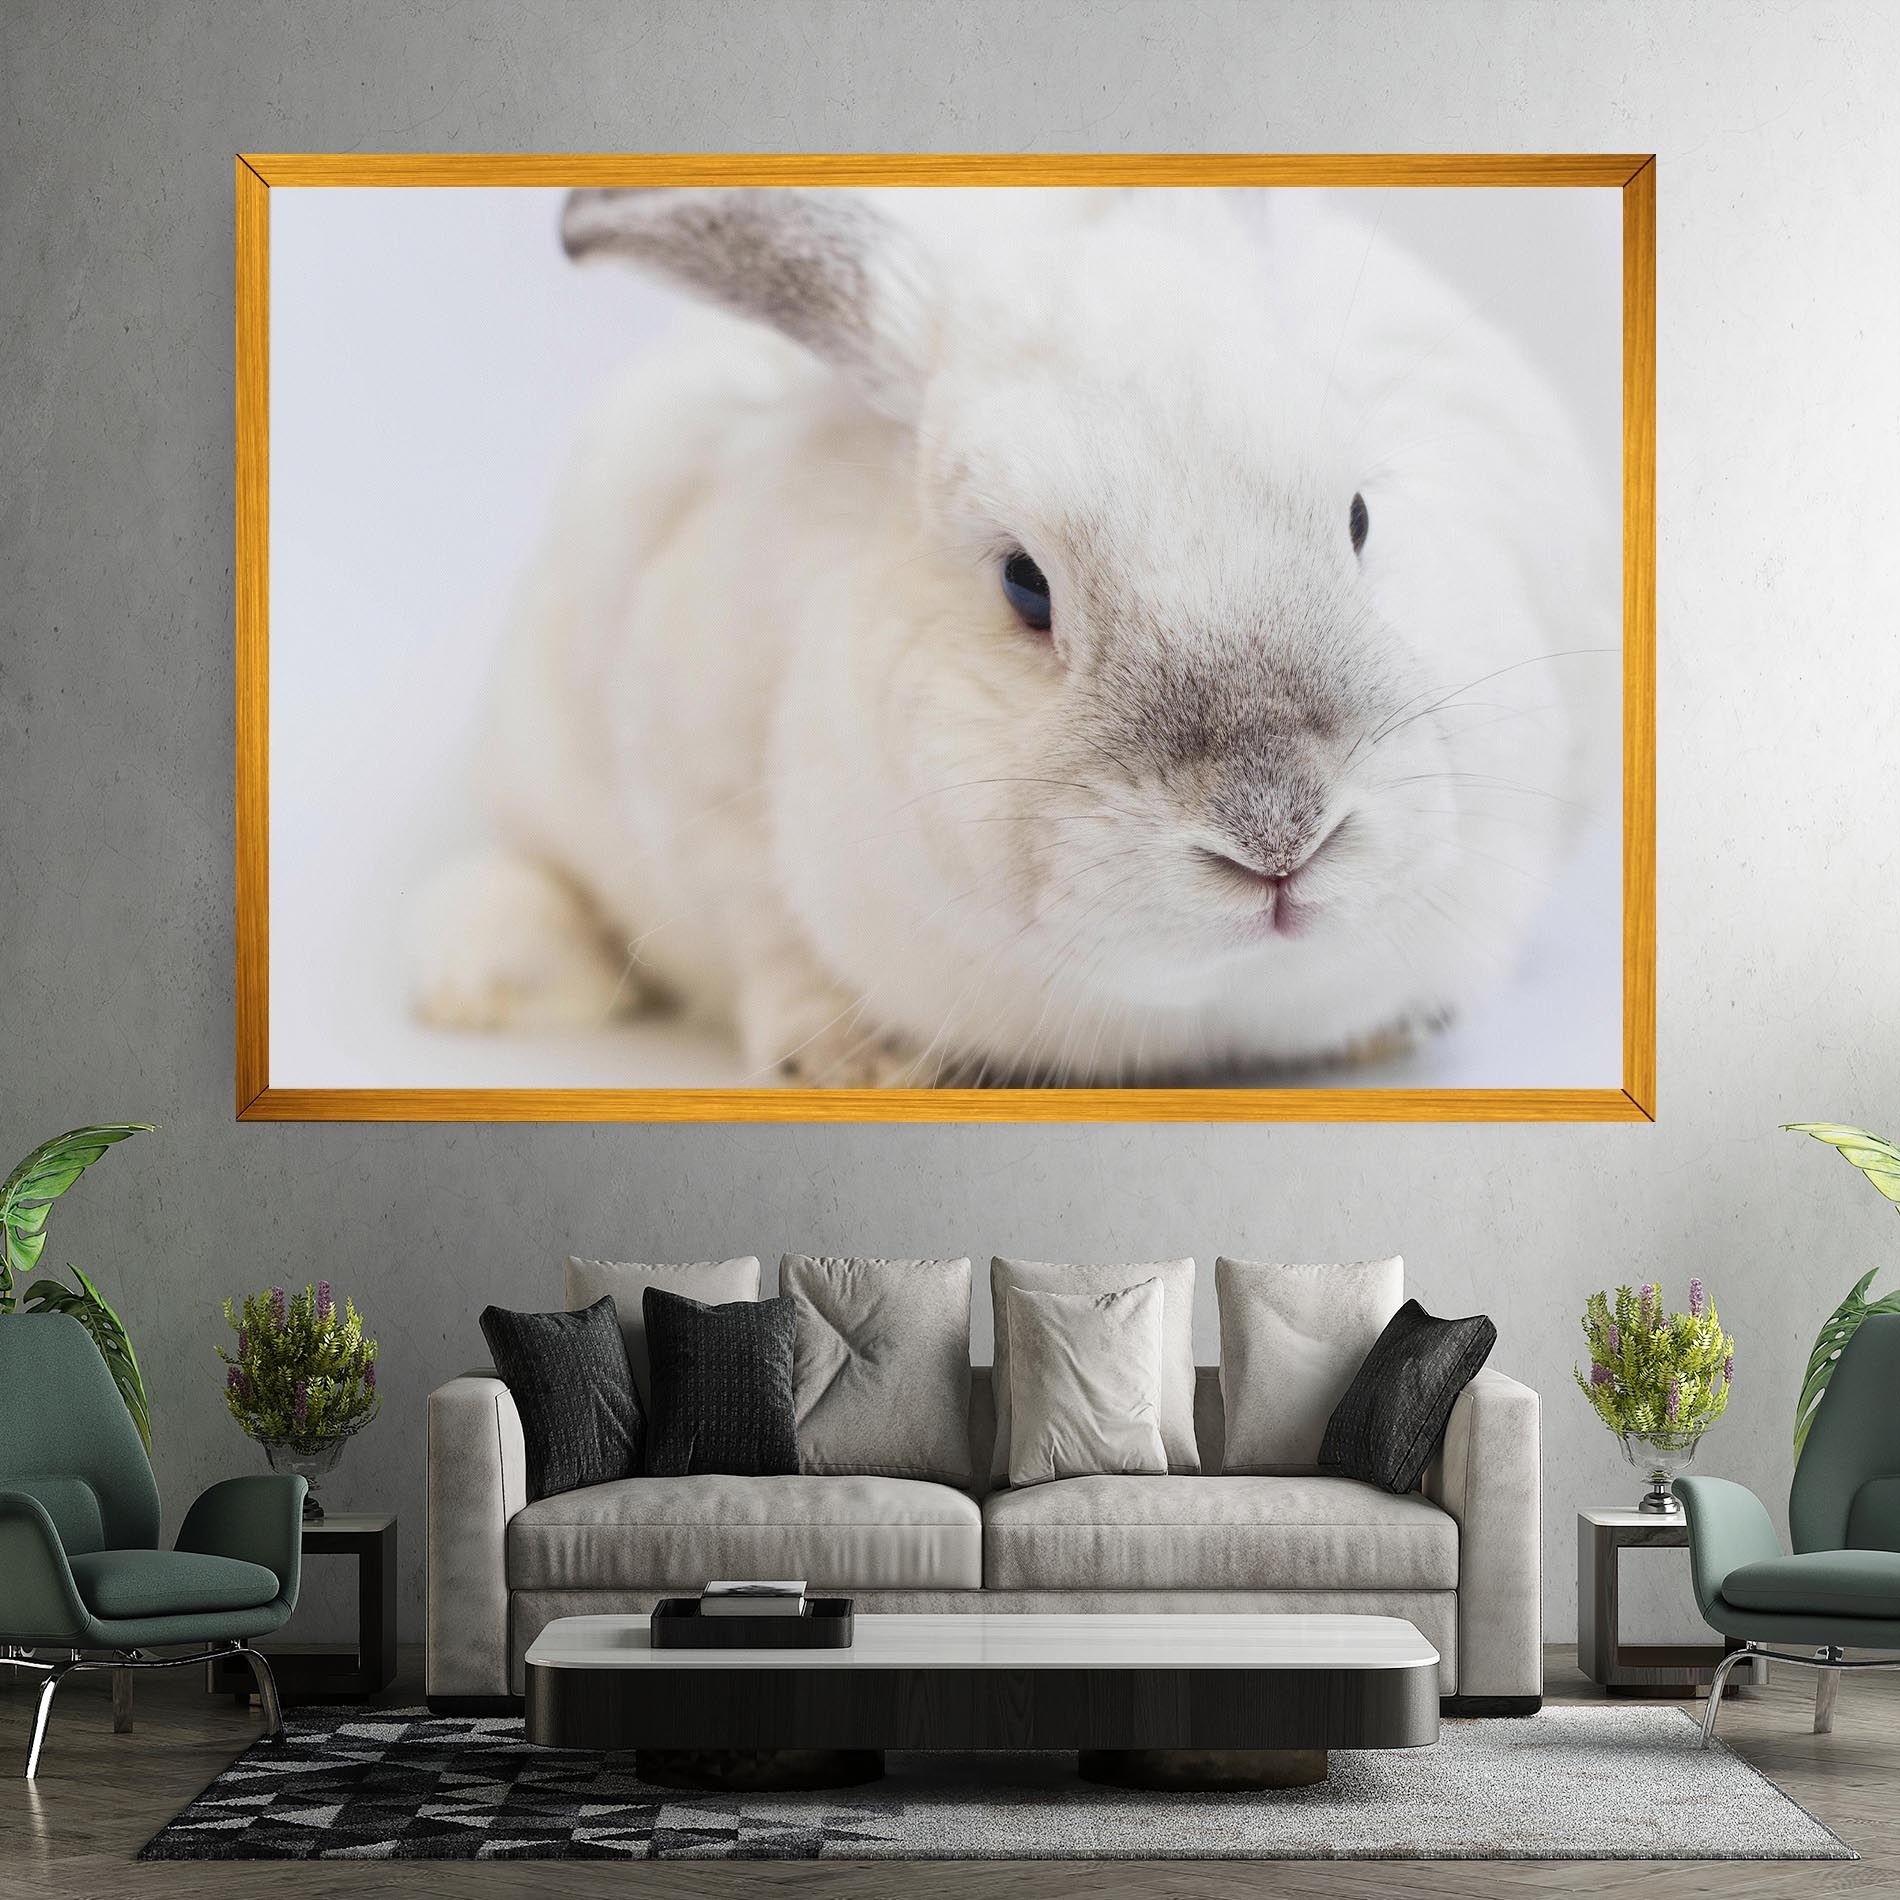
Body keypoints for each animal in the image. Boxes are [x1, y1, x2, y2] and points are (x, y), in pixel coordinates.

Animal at [407, 185, 1616, 1087]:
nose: (1278, 836)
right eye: (1024, 584)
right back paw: (480, 983)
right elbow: (771, 943)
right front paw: (855, 1060)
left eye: (1360, 516)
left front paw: (1393, 1027)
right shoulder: (701, 796)